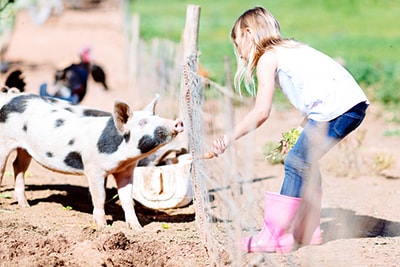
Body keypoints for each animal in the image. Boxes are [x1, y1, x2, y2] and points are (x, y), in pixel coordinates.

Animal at [0, 91, 184, 229]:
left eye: (156, 115)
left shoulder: (126, 170)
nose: (177, 122)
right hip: (5, 142)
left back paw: (25, 206)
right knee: (4, 168)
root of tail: (8, 98)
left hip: (25, 149)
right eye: (143, 122)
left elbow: (127, 199)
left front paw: (137, 228)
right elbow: (99, 196)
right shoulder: (94, 169)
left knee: (18, 167)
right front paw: (102, 227)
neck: (124, 157)